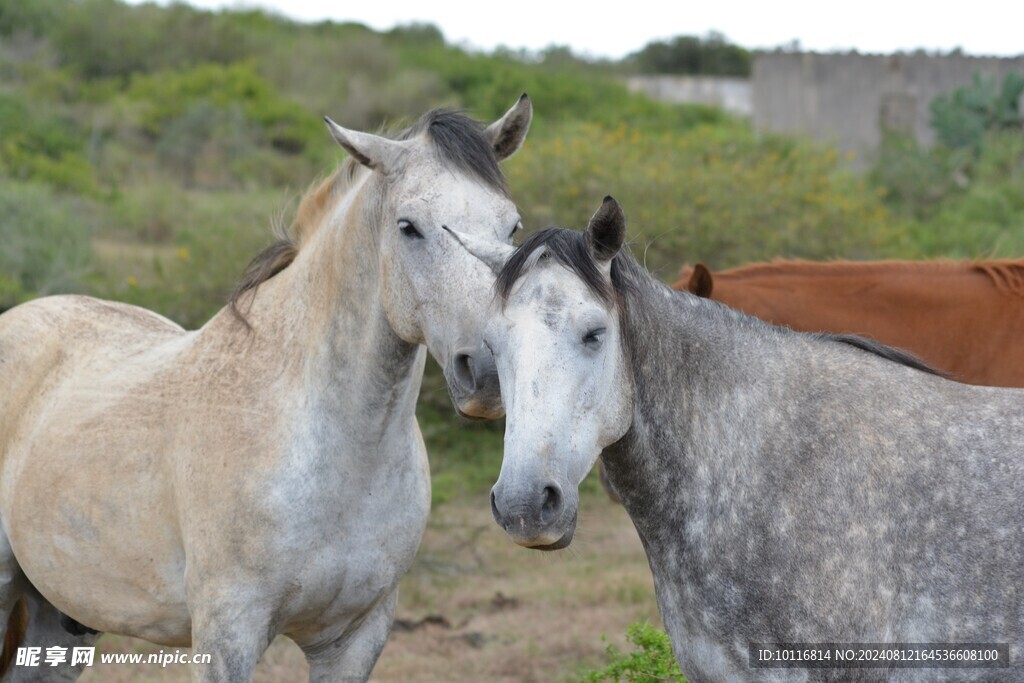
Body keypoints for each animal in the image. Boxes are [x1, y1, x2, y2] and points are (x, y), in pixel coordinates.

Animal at [2, 97, 536, 683]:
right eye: (408, 227)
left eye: (512, 227)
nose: (487, 370)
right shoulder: (228, 634)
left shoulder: (355, 637)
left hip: (60, 616)